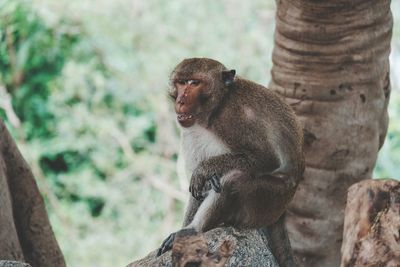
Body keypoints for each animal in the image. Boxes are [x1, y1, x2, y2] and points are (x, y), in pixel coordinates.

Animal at [156, 57, 304, 266]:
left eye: (194, 83)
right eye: (181, 83)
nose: (180, 100)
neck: (216, 108)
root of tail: (282, 212)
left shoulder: (238, 117)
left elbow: (268, 158)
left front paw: (204, 170)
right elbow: (197, 189)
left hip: (268, 201)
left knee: (235, 179)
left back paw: (195, 228)